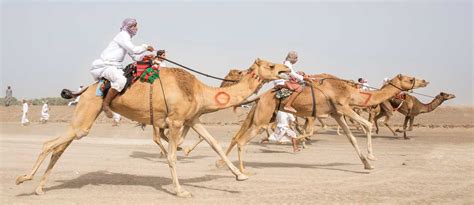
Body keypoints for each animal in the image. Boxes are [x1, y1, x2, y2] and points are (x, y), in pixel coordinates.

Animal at [13, 58, 288, 196]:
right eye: (271, 65)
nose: (286, 69)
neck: (199, 91)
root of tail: (87, 89)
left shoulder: (193, 119)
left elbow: (213, 144)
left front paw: (240, 175)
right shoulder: (176, 122)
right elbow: (172, 157)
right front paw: (181, 191)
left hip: (84, 116)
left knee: (60, 147)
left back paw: (39, 188)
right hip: (87, 111)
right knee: (50, 144)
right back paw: (22, 178)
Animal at [218, 73, 430, 172]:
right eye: (410, 78)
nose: (425, 81)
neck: (351, 92)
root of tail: (262, 96)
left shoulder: (336, 113)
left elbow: (352, 138)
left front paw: (366, 164)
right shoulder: (343, 107)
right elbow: (368, 125)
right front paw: (371, 157)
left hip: (261, 113)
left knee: (237, 136)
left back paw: (221, 164)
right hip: (263, 116)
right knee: (241, 140)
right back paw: (241, 171)